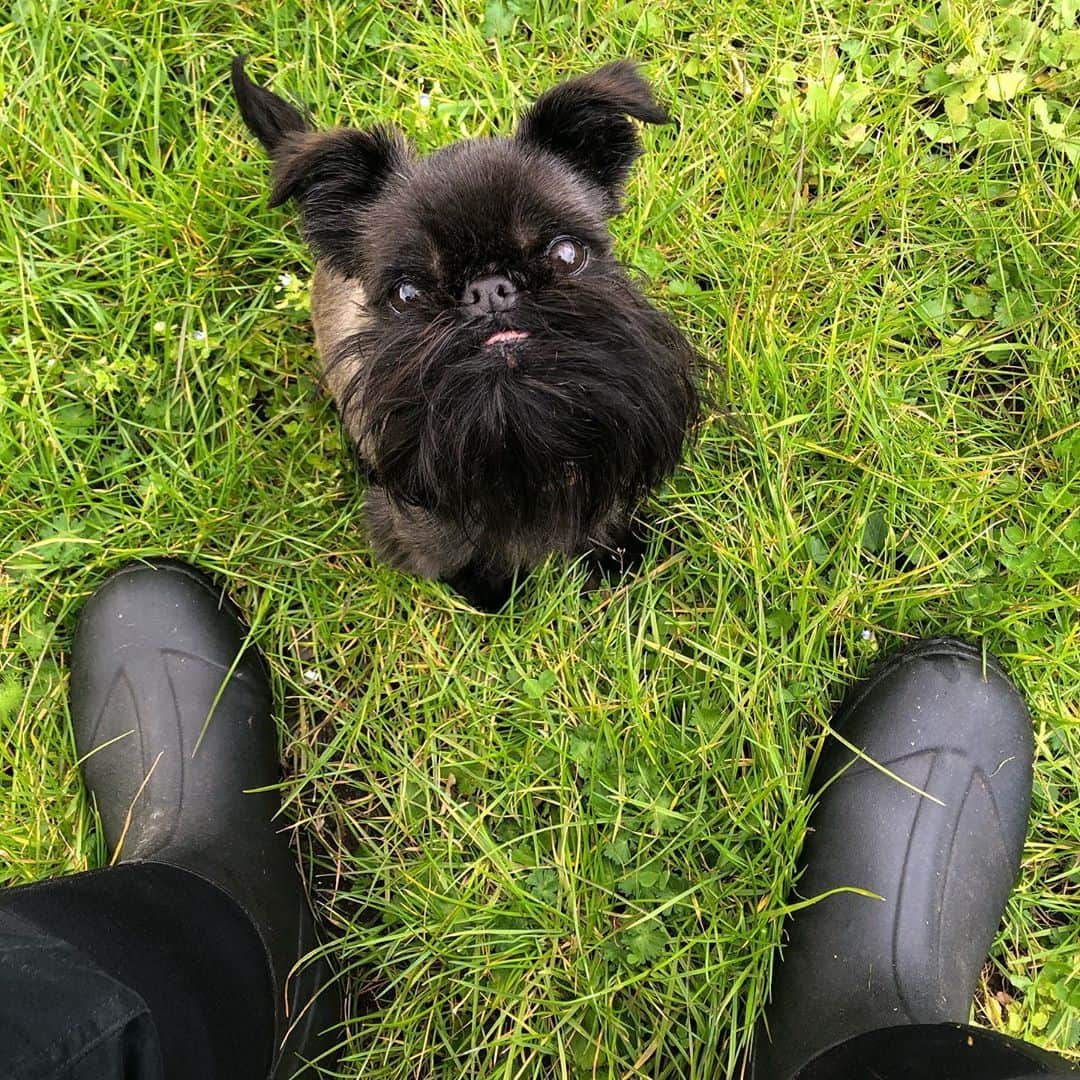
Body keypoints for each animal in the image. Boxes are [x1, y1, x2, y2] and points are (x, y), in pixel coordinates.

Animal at [231, 59, 699, 613]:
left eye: (567, 254)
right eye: (407, 293)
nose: (488, 291)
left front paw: (614, 556)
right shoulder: (422, 525)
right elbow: (462, 558)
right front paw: (491, 594)